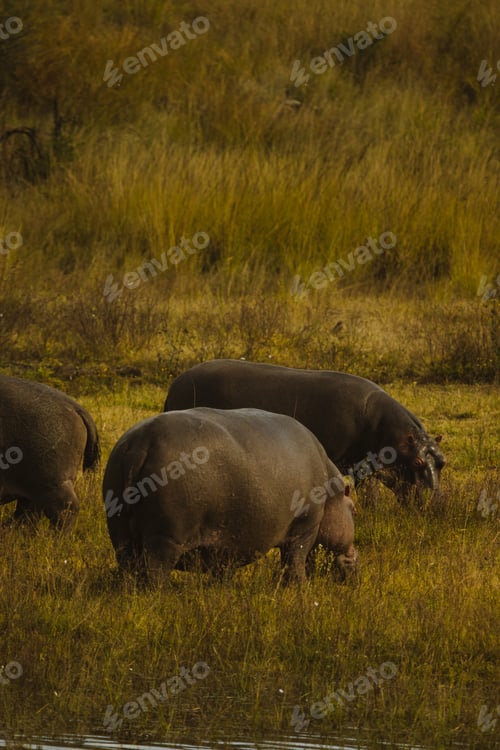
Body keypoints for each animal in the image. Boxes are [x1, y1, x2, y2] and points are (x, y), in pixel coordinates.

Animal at [103, 407, 357, 584]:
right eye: (354, 509)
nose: (356, 560)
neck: (333, 494)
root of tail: (141, 443)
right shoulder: (305, 528)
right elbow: (295, 561)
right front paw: (300, 589)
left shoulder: (228, 542)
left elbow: (223, 569)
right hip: (165, 537)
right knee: (156, 572)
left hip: (119, 530)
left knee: (129, 564)